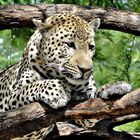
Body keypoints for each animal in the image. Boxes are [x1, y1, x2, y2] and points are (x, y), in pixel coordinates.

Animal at [0, 12, 132, 139]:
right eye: (70, 44)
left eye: (91, 47)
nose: (86, 70)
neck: (59, 75)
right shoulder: (10, 105)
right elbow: (30, 87)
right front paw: (57, 90)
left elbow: (94, 105)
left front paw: (114, 86)